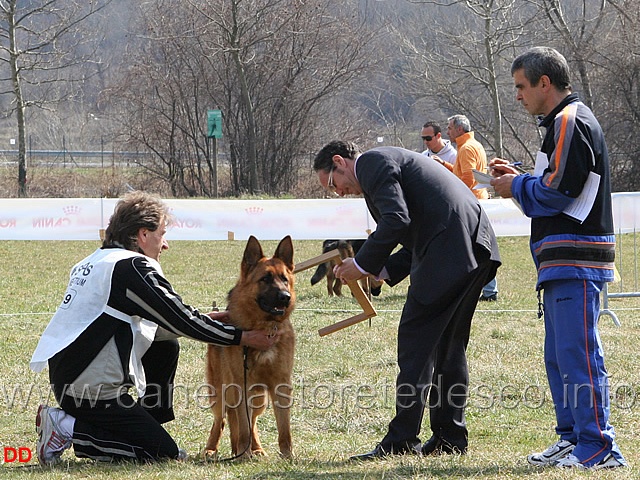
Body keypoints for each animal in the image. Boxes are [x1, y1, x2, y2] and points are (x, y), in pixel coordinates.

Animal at [204, 236, 296, 462]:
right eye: (265, 279)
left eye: (284, 279)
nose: (285, 297)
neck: (265, 327)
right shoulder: (241, 387)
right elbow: (242, 427)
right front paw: (243, 456)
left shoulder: (281, 385)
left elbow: (284, 429)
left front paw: (288, 456)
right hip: (220, 393)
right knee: (221, 420)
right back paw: (213, 449)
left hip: (259, 398)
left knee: (251, 421)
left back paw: (256, 449)